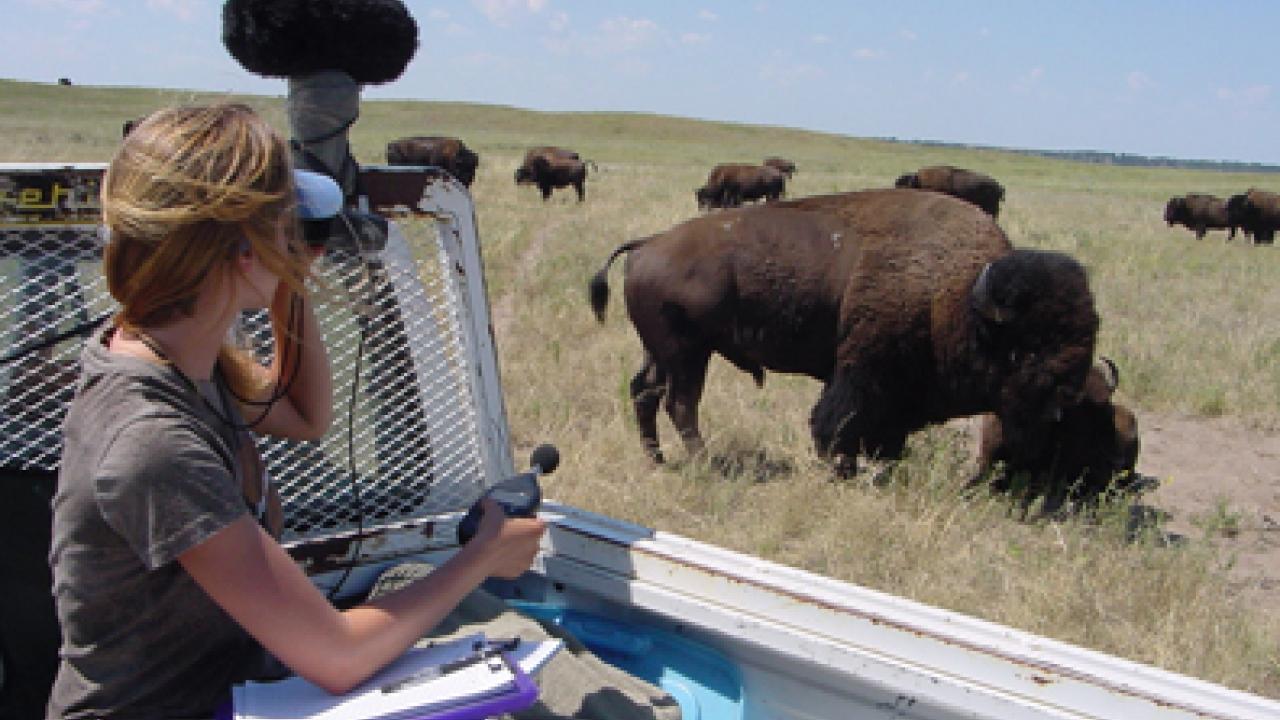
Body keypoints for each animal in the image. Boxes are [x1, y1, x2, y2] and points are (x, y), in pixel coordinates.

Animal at [589, 189, 1099, 475]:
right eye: (1024, 350)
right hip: (688, 353)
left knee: (645, 393)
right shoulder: (862, 374)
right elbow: (838, 423)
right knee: (680, 403)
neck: (953, 294)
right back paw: (705, 462)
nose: (1062, 399)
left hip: (662, 352)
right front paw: (841, 469)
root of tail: (648, 244)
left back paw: (657, 459)